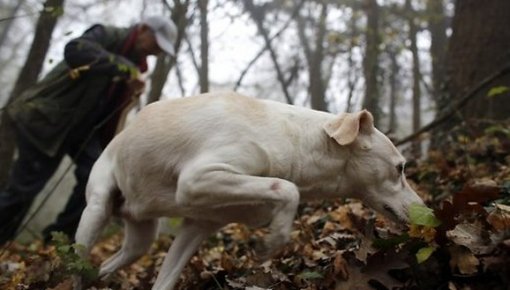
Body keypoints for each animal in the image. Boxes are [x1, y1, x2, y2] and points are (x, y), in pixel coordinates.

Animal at [72, 92, 422, 288]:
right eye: (400, 168)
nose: (427, 211)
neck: (296, 140)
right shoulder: (198, 179)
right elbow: (287, 189)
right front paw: (273, 241)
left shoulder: (198, 226)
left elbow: (165, 281)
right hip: (97, 211)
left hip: (141, 241)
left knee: (102, 267)